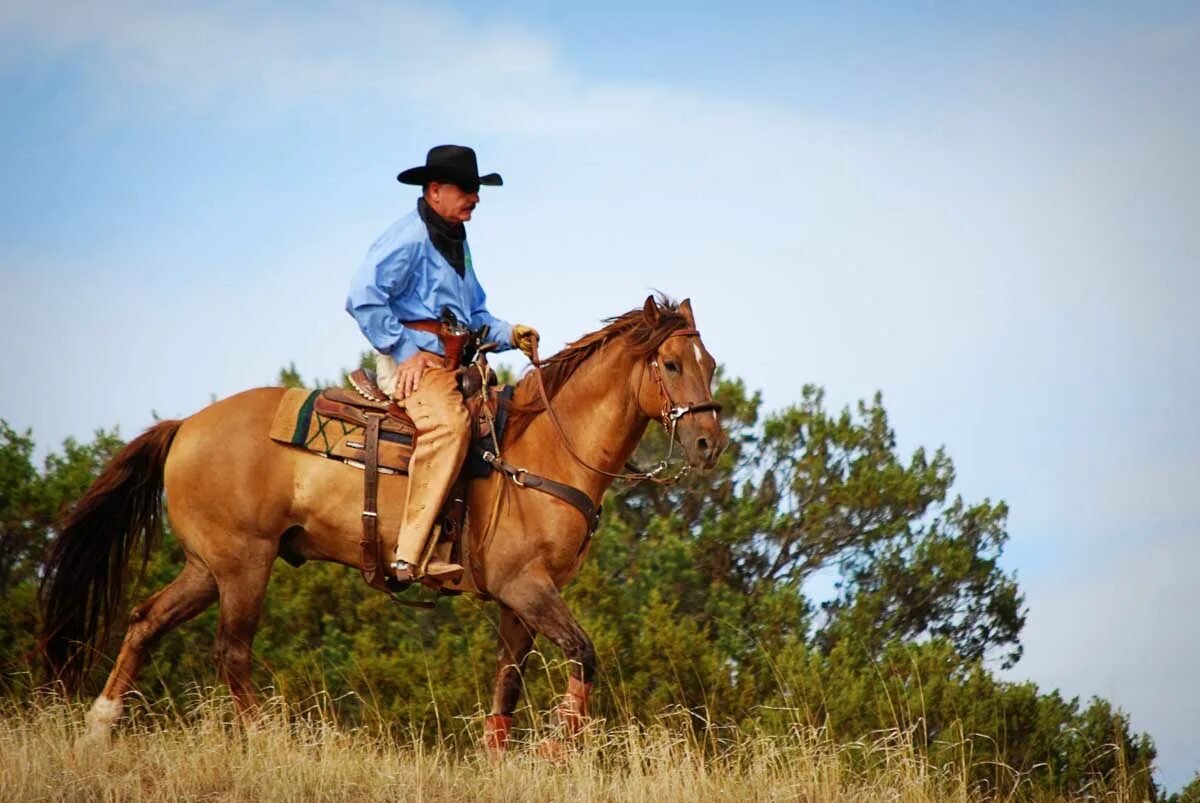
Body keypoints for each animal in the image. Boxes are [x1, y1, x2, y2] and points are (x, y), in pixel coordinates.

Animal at [42, 296, 724, 753]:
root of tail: (185, 425)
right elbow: (582, 653)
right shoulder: (526, 586)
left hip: (207, 566)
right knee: (231, 653)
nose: (708, 442)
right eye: (669, 364)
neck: (545, 450)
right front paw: (559, 750)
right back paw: (271, 744)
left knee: (146, 620)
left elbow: (505, 685)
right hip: (243, 566)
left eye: (710, 362)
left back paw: (98, 729)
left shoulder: (518, 600)